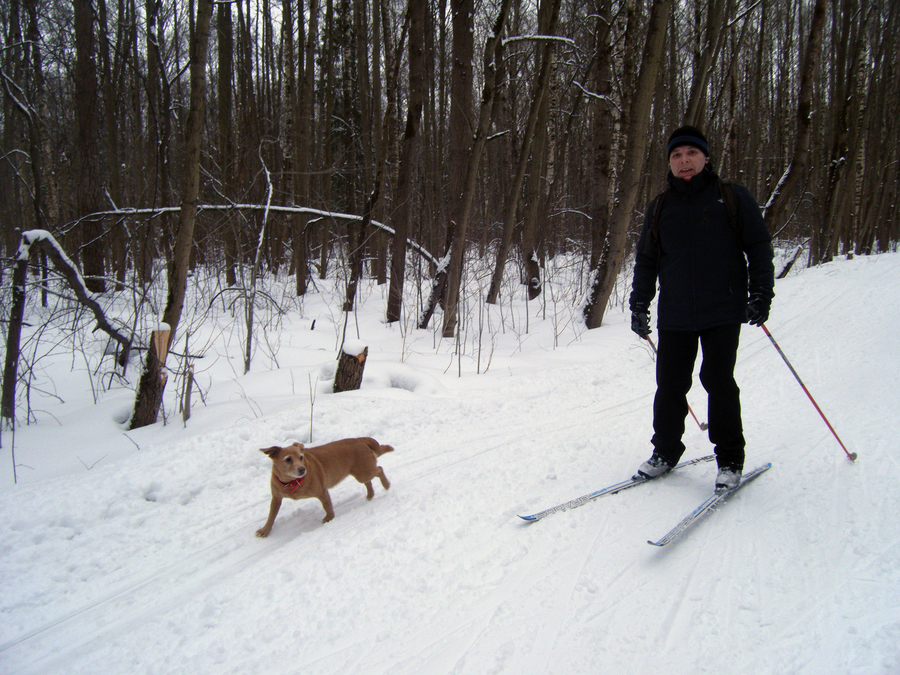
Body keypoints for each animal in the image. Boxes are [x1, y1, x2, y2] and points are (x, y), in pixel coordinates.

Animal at [255, 438, 392, 540]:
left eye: (301, 457)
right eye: (288, 459)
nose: (302, 469)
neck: (291, 482)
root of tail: (360, 440)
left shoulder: (322, 491)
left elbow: (327, 506)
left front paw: (329, 518)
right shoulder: (276, 498)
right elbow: (271, 515)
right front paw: (265, 530)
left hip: (365, 472)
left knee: (379, 469)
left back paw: (386, 485)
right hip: (361, 473)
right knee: (368, 482)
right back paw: (370, 494)